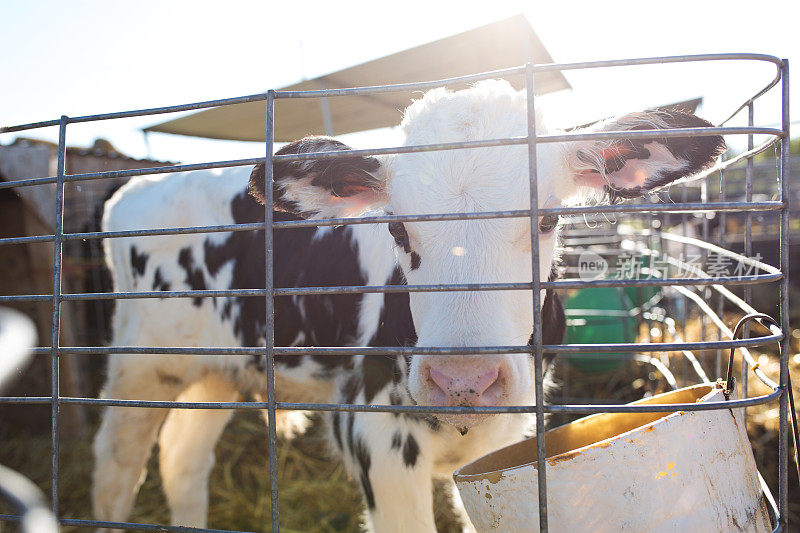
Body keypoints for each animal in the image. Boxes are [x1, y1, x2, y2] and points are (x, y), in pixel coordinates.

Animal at [90, 80, 720, 532]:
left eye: (547, 220)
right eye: (396, 227)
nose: (463, 380)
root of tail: (137, 188)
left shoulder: (511, 432)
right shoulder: (376, 433)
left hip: (218, 370)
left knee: (182, 461)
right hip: (141, 364)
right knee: (117, 468)